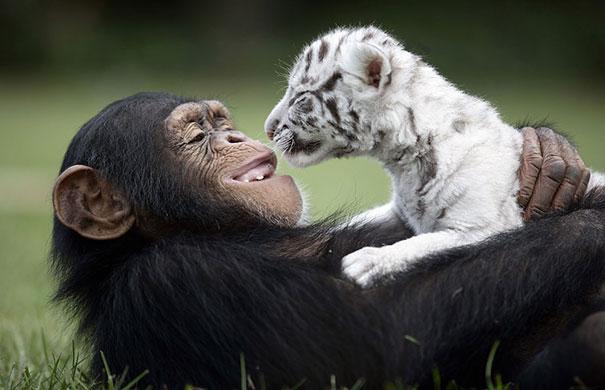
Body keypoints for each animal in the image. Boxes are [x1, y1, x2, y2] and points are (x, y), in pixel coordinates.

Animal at [49, 92, 604, 390]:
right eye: (194, 137)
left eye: (220, 122)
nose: (235, 138)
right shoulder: (177, 281)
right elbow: (380, 347)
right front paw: (592, 224)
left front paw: (547, 157)